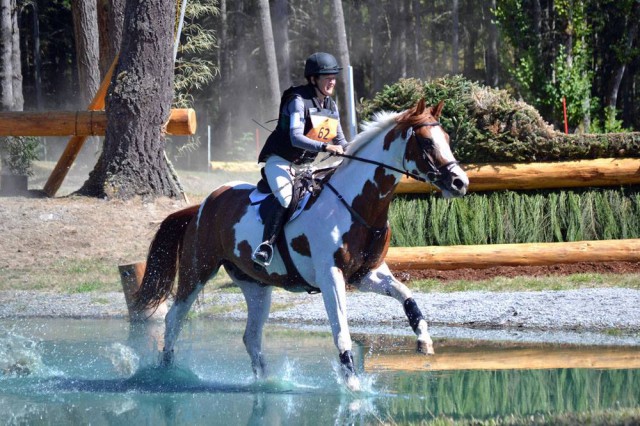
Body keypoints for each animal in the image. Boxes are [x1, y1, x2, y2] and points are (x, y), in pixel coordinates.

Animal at [132, 98, 470, 392]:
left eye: (447, 137)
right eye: (427, 143)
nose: (460, 183)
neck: (356, 204)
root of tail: (203, 205)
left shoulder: (365, 274)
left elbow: (409, 299)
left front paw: (424, 342)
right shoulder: (331, 276)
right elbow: (342, 333)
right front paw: (353, 387)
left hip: (256, 286)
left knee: (251, 337)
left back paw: (266, 383)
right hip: (198, 269)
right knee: (174, 319)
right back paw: (165, 374)